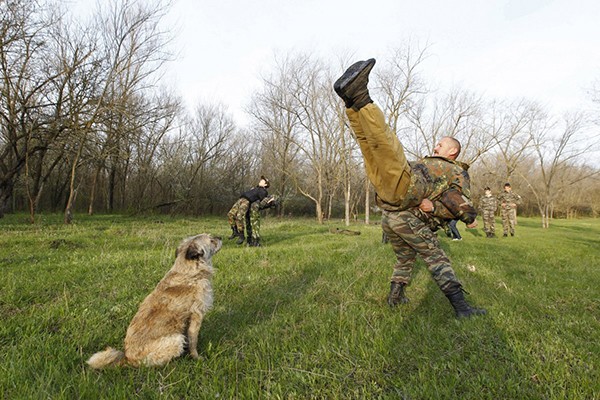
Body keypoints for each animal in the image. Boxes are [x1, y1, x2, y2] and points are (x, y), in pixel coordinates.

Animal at [88, 234, 221, 368]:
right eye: (211, 240)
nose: (220, 237)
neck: (190, 271)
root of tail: (128, 358)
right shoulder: (196, 315)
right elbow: (193, 340)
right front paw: (196, 357)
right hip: (176, 339)